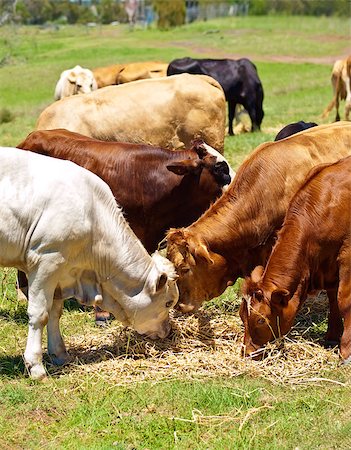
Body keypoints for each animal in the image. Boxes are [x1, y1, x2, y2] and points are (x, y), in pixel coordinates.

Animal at [0, 149, 179, 380]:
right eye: (168, 303)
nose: (168, 331)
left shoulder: (62, 273)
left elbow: (55, 312)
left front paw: (60, 355)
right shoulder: (45, 261)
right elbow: (40, 314)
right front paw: (36, 367)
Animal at [242, 156, 351, 364]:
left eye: (260, 320)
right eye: (241, 315)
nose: (247, 353)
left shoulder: (346, 257)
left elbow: (344, 301)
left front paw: (346, 352)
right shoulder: (328, 266)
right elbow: (333, 299)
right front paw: (332, 337)